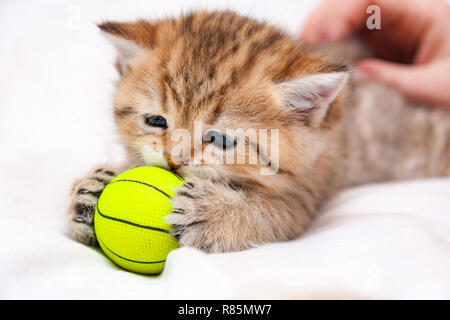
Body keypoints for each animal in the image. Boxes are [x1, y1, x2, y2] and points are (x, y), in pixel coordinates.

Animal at [67, 10, 450, 252]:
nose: (174, 160)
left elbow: (276, 214)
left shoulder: (309, 190)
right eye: (156, 121)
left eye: (220, 140)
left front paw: (217, 213)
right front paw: (90, 190)